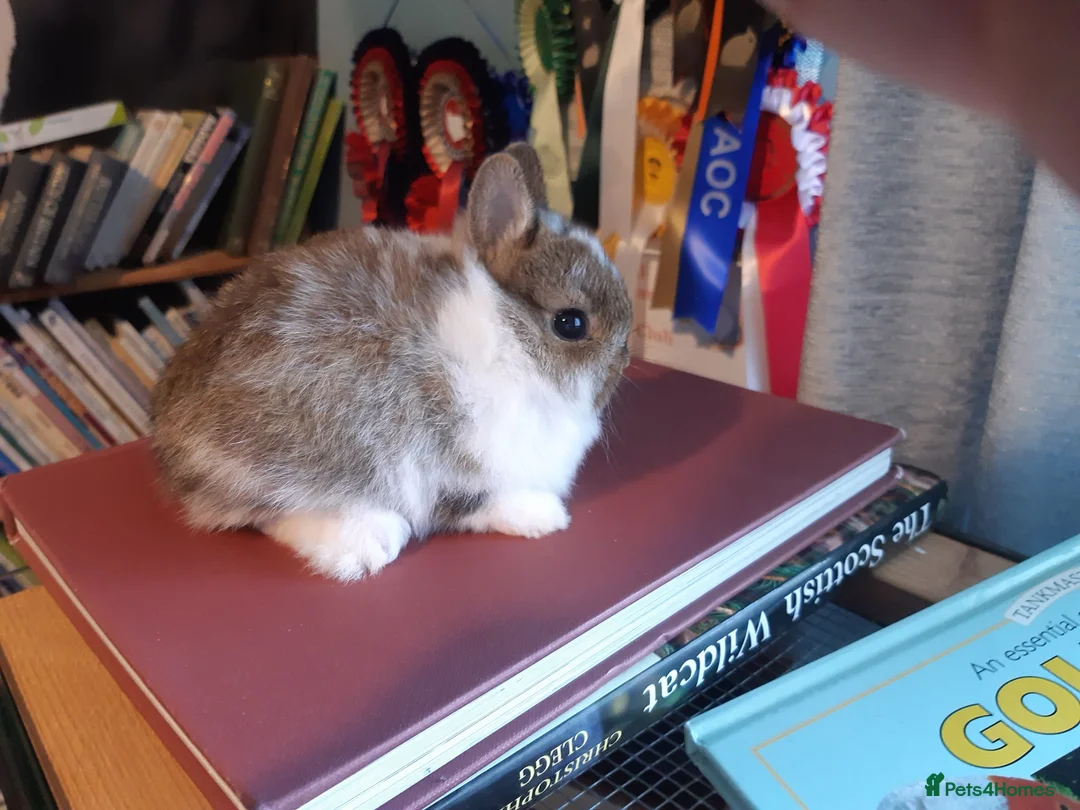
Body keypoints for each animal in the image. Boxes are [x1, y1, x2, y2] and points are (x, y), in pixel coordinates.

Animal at [149, 142, 633, 582]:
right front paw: (547, 517)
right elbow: (475, 502)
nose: (624, 361)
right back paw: (365, 545)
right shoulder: (450, 461)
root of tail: (170, 440)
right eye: (571, 323)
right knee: (275, 510)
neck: (509, 338)